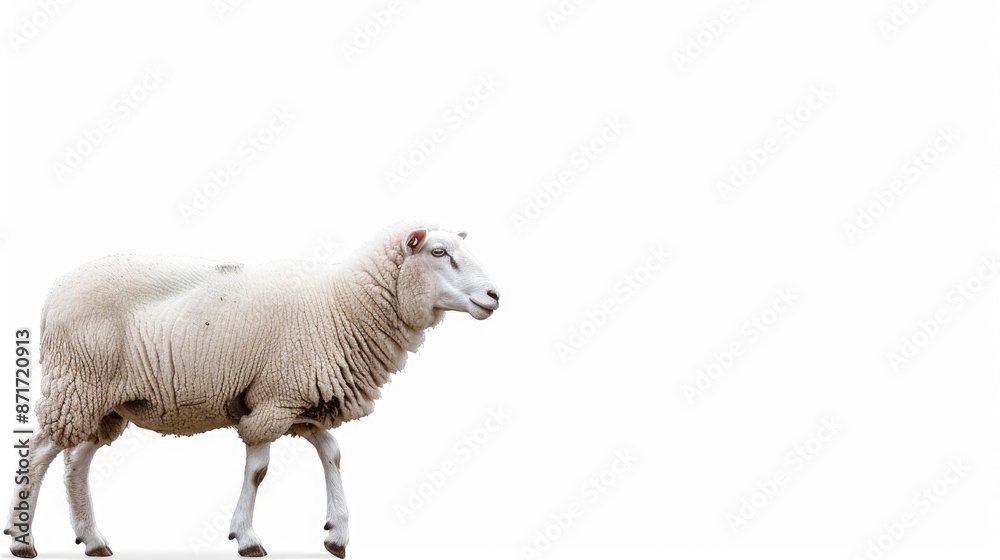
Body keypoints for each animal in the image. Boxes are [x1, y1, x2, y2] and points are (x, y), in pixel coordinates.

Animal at [5, 223, 500, 558]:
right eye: (439, 252)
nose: (495, 295)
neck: (342, 306)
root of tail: (54, 293)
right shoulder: (274, 400)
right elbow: (259, 469)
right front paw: (246, 537)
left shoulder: (299, 402)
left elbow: (333, 453)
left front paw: (337, 533)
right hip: (78, 383)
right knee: (41, 449)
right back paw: (21, 538)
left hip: (106, 402)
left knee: (75, 460)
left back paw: (92, 539)